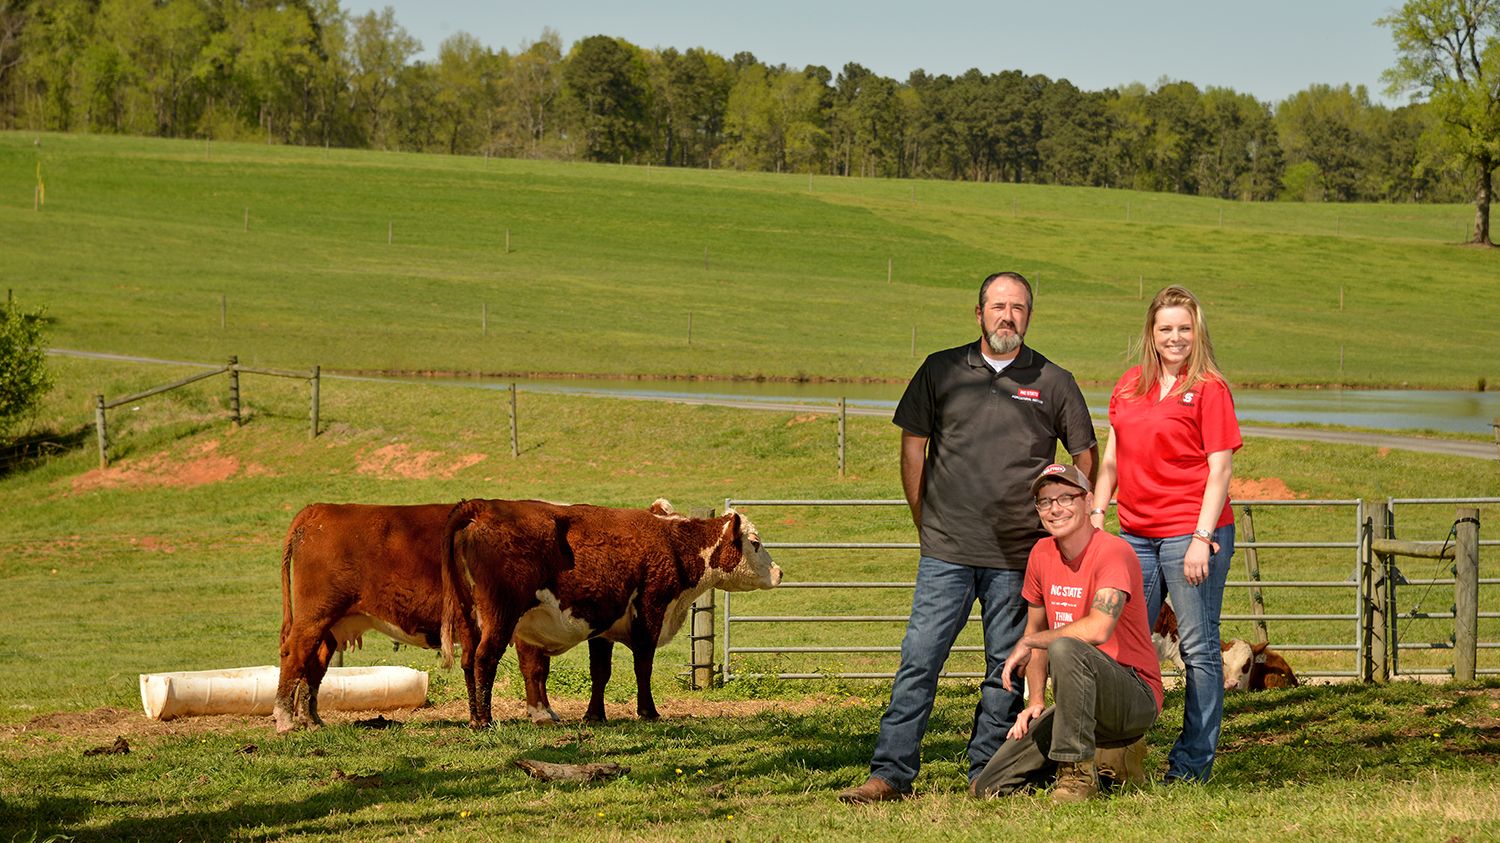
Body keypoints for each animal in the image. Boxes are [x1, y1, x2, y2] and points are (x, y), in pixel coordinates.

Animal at [438, 495, 780, 726]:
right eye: (755, 542)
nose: (779, 572)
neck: (671, 543)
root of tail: (482, 507)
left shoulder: (602, 626)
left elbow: (600, 672)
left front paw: (594, 715)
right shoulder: (650, 612)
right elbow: (643, 667)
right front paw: (648, 712)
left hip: (470, 618)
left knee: (469, 661)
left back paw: (474, 717)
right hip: (501, 615)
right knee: (485, 659)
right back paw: (485, 720)